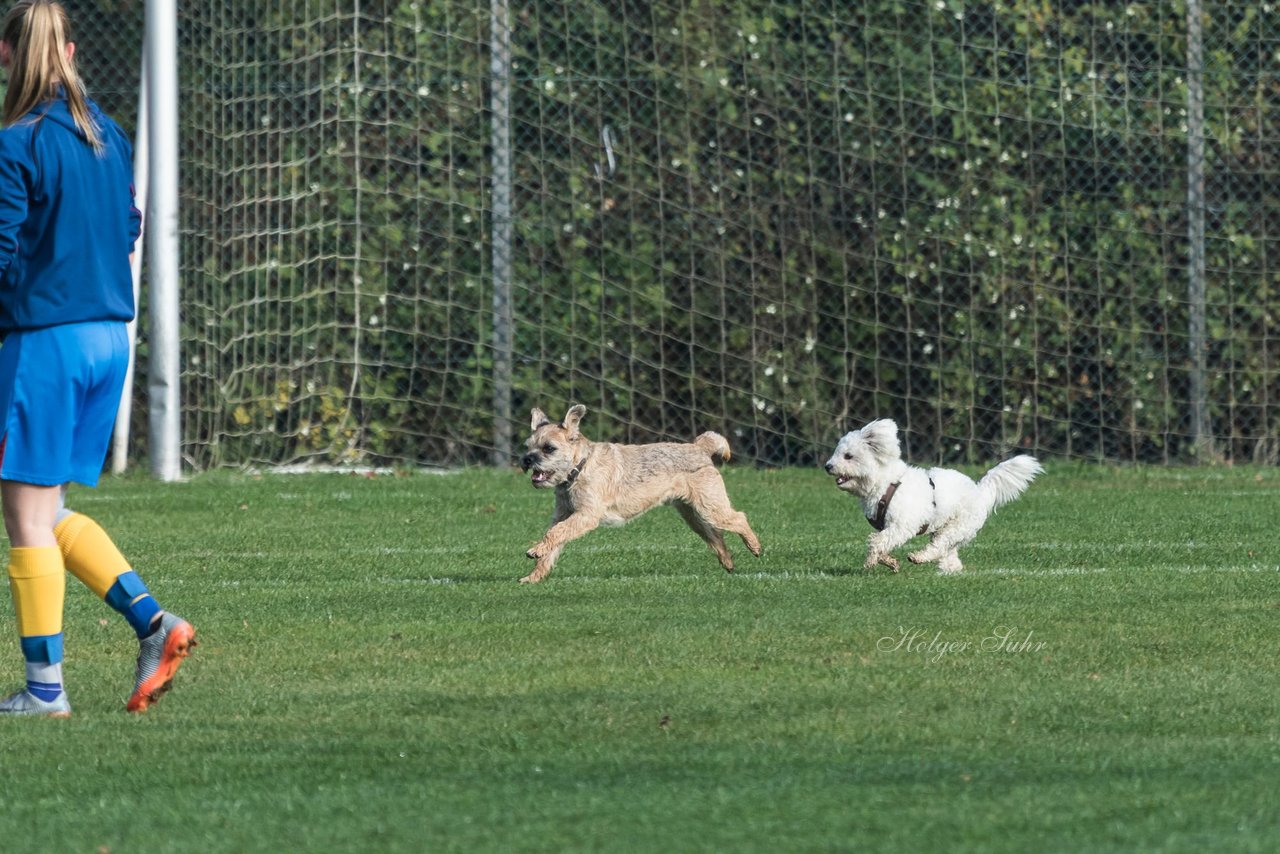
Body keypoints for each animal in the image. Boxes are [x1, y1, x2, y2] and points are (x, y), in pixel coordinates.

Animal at [517, 407, 762, 581]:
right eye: (528, 446)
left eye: (549, 448)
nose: (527, 459)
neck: (580, 467)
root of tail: (699, 447)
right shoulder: (563, 514)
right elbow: (554, 539)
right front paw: (534, 576)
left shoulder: (586, 515)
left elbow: (556, 533)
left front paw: (535, 550)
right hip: (693, 515)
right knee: (716, 536)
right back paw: (728, 562)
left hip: (711, 506)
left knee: (739, 518)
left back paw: (754, 546)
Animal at [824, 419, 1044, 573]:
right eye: (837, 453)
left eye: (848, 456)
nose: (827, 466)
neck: (886, 483)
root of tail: (980, 491)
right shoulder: (889, 527)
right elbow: (882, 544)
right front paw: (889, 562)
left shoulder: (901, 526)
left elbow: (876, 542)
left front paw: (872, 561)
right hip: (950, 530)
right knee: (949, 553)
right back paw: (950, 569)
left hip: (957, 526)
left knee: (938, 547)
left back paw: (919, 557)